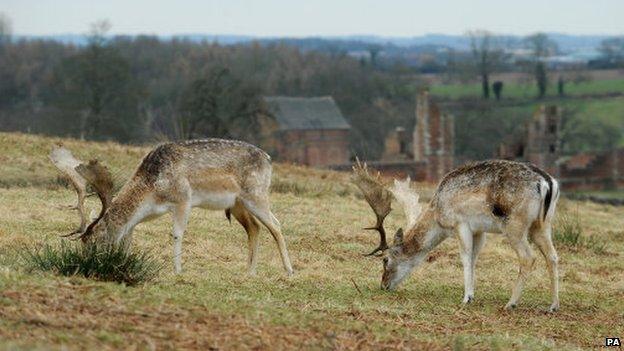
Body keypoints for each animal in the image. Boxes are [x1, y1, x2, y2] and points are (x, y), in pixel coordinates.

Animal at [50, 139, 292, 276]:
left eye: (95, 241)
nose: (85, 263)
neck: (153, 189)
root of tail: (269, 159)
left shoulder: (184, 199)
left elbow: (177, 233)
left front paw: (177, 270)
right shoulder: (149, 213)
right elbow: (129, 233)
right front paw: (124, 259)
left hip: (256, 194)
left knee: (276, 225)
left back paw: (289, 271)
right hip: (237, 204)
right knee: (255, 227)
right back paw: (249, 272)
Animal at [354, 161, 564, 312]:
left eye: (385, 259)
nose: (383, 285)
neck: (438, 213)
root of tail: (548, 183)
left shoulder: (461, 223)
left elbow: (465, 257)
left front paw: (466, 298)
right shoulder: (479, 231)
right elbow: (474, 258)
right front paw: (472, 294)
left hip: (515, 226)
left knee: (529, 257)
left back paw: (510, 303)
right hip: (542, 225)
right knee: (553, 256)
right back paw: (553, 306)